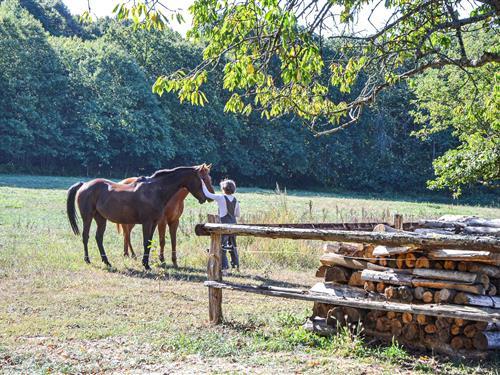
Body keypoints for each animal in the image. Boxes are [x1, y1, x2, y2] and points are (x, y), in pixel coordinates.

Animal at [66, 165, 209, 270]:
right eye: (201, 180)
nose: (205, 198)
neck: (155, 190)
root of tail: (84, 184)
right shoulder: (147, 222)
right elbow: (146, 242)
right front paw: (146, 265)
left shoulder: (154, 222)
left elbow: (149, 242)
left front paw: (146, 263)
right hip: (87, 217)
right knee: (86, 236)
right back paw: (88, 260)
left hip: (101, 219)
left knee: (98, 238)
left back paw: (107, 262)